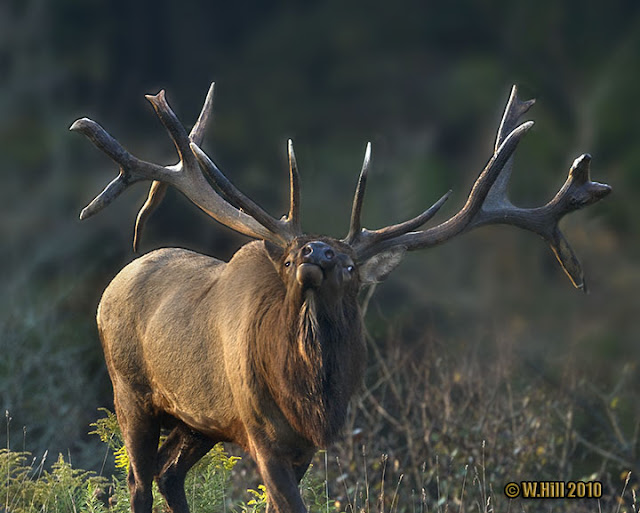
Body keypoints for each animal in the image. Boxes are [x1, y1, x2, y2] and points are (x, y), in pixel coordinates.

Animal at [70, 84, 608, 512]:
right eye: (290, 259)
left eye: (350, 266)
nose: (317, 251)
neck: (311, 399)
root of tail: (111, 286)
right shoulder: (261, 431)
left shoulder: (306, 446)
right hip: (129, 391)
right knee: (138, 481)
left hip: (196, 421)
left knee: (168, 474)